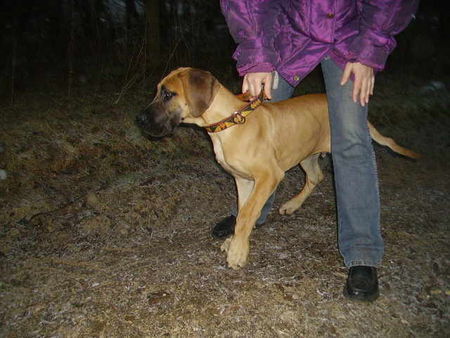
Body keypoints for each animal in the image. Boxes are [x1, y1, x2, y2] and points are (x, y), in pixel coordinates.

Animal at [135, 68, 420, 270]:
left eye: (168, 94)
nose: (139, 120)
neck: (229, 123)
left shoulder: (268, 176)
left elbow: (247, 214)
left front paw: (238, 250)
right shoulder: (244, 180)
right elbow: (243, 212)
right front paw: (235, 241)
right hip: (305, 153)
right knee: (315, 176)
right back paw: (292, 205)